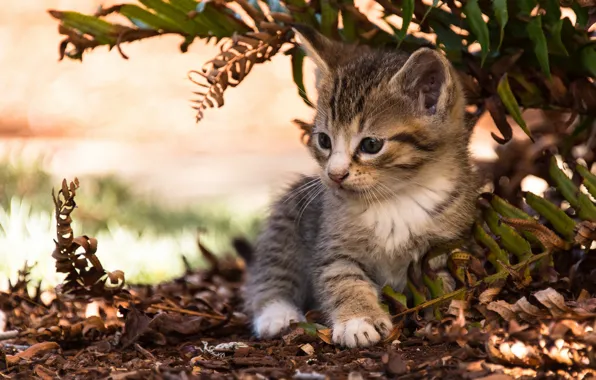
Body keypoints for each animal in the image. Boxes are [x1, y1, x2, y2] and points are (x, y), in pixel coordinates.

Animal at [243, 26, 480, 348]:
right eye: (324, 141)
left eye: (370, 145)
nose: (335, 174)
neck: (396, 198)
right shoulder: (331, 246)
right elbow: (342, 279)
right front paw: (358, 320)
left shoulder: (447, 244)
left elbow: (445, 281)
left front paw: (446, 313)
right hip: (289, 218)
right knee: (272, 269)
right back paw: (276, 314)